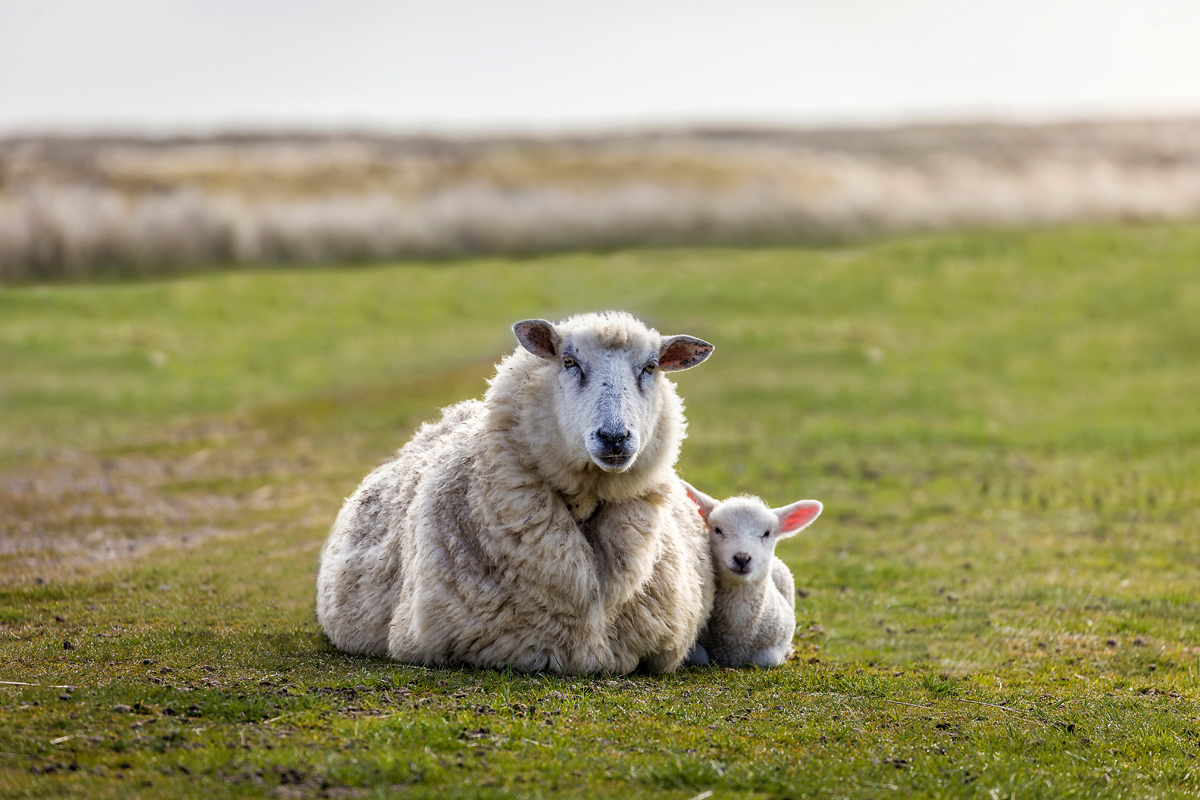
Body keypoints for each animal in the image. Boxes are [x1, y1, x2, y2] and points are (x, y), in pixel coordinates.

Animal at [680, 482, 822, 668]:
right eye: (718, 530)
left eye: (767, 533)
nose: (742, 558)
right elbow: (700, 657)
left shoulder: (783, 635)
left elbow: (766, 658)